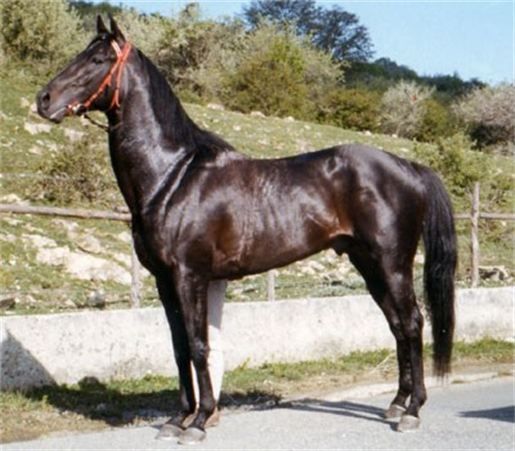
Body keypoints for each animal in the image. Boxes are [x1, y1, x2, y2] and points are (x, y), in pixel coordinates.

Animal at [35, 16, 456, 444]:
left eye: (98, 59)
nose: (44, 99)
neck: (173, 176)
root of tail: (408, 168)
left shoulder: (189, 276)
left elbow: (199, 346)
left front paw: (199, 421)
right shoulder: (165, 281)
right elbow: (179, 348)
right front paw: (177, 419)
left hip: (392, 265)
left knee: (412, 323)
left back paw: (412, 410)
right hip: (369, 266)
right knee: (397, 327)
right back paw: (397, 403)